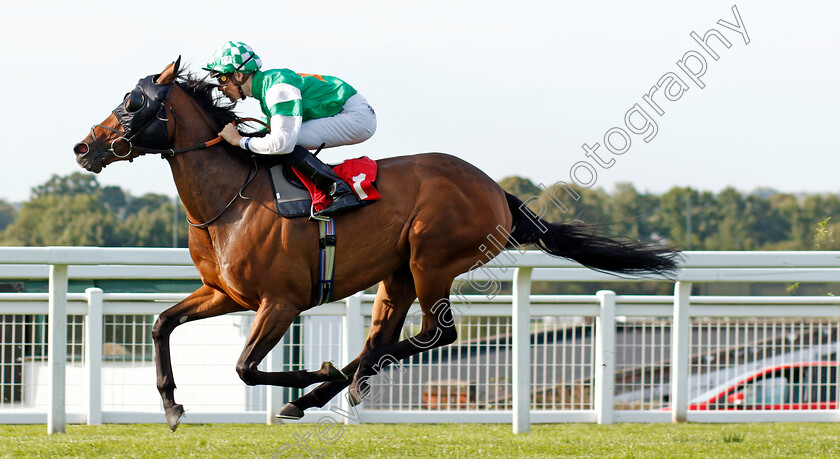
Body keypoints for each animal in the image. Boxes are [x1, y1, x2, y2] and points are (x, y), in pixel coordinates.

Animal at [70, 58, 676, 432]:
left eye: (133, 102)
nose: (83, 147)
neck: (233, 197)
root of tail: (495, 190)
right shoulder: (226, 293)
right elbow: (161, 324)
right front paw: (172, 405)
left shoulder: (280, 302)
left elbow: (244, 368)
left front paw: (313, 373)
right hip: (398, 272)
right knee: (384, 337)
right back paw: (335, 386)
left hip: (432, 260)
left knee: (435, 334)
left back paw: (329, 383)